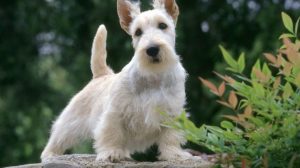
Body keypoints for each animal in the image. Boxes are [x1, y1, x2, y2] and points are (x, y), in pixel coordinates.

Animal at [41, 0, 198, 163]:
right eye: (137, 32)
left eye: (162, 25)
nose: (152, 49)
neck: (154, 75)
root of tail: (101, 74)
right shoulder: (115, 112)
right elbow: (112, 132)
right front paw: (111, 153)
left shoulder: (172, 113)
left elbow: (170, 137)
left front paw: (174, 154)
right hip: (70, 122)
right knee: (58, 136)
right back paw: (50, 155)